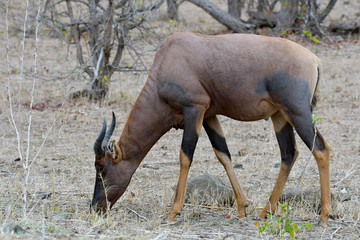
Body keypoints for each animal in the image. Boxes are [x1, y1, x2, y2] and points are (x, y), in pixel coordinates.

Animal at [92, 32, 332, 227]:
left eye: (101, 168)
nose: (96, 207)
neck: (170, 57)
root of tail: (314, 59)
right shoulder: (209, 115)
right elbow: (223, 154)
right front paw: (242, 208)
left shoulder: (194, 110)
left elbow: (185, 156)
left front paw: (171, 213)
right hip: (279, 116)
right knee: (288, 154)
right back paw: (264, 212)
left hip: (297, 113)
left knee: (321, 149)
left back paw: (323, 217)